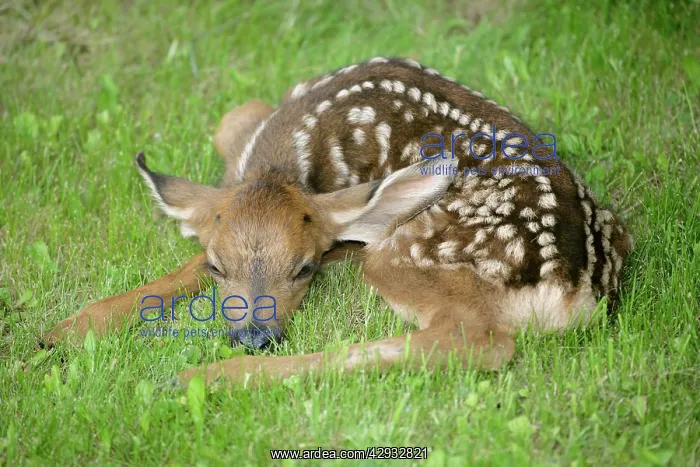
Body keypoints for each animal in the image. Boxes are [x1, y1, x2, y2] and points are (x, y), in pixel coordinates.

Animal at [42, 57, 632, 386]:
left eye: (305, 268)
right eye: (218, 268)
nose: (253, 336)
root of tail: (573, 290)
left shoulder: (348, 233)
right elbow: (228, 126)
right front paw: (65, 331)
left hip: (403, 252)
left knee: (471, 341)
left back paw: (203, 378)